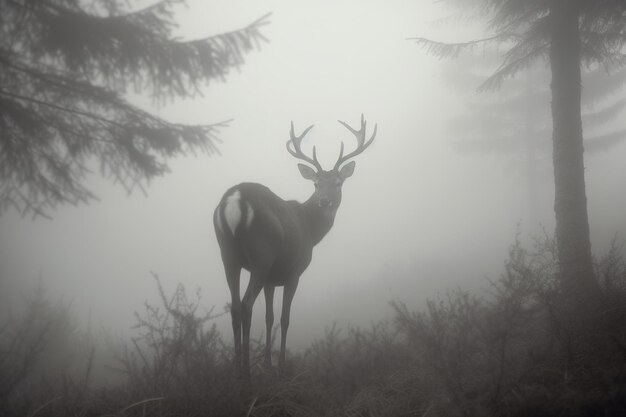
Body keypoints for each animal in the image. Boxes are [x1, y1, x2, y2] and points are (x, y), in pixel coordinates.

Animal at [213, 113, 376, 376]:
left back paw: (236, 368)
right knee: (246, 305)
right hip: (261, 254)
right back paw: (246, 372)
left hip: (228, 254)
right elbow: (284, 318)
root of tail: (234, 199)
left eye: (338, 182)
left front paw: (268, 365)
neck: (310, 229)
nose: (325, 201)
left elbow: (269, 316)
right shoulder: (294, 272)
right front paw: (281, 366)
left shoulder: (272, 279)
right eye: (316, 184)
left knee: (235, 307)